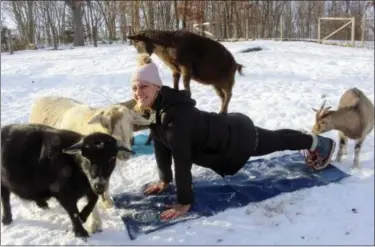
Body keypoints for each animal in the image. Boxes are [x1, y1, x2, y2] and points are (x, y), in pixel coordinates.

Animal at [0, 123, 134, 239]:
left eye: (112, 158)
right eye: (86, 158)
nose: (99, 184)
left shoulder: (89, 187)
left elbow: (93, 200)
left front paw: (83, 216)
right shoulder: (62, 192)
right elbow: (72, 211)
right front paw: (81, 232)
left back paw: (42, 204)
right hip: (2, 183)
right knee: (5, 198)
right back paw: (7, 219)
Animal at [29, 95, 153, 233]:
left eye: (130, 124)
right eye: (106, 125)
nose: (125, 155)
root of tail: (45, 96)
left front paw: (107, 202)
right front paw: (94, 223)